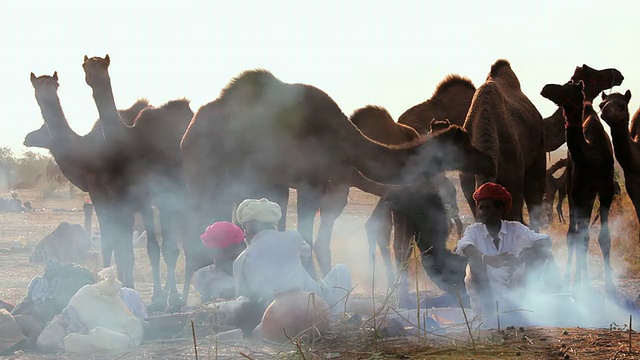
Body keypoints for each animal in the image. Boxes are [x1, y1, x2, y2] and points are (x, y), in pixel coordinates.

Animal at [24, 71, 162, 294]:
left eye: (54, 84)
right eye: (37, 85)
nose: (27, 138)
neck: (86, 152)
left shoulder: (104, 194)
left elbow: (111, 242)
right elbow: (119, 244)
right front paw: (120, 282)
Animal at [81, 55, 209, 304]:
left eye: (103, 65)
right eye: (86, 66)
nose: (93, 78)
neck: (130, 141)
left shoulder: (150, 198)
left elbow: (157, 248)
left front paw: (162, 298)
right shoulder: (133, 201)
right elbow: (144, 248)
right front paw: (161, 296)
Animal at [181, 69, 496, 284]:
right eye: (463, 143)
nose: (488, 159)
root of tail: (189, 131)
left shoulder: (325, 187)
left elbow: (316, 240)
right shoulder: (309, 183)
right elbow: (306, 237)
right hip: (208, 179)